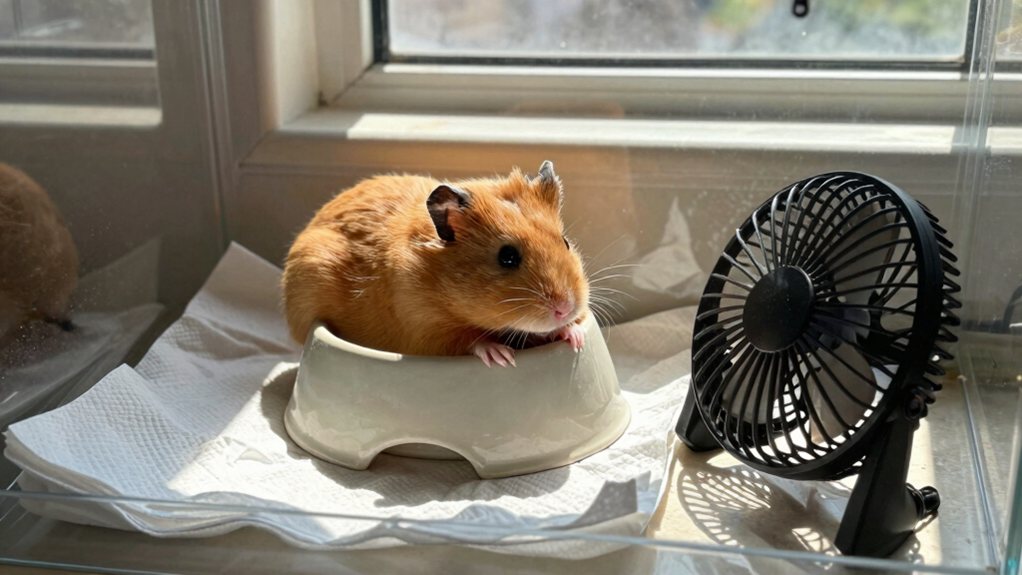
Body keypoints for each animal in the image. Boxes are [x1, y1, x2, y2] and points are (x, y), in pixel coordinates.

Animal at [283, 161, 589, 367]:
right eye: (507, 257)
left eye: (565, 242)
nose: (565, 308)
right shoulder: (424, 327)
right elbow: (471, 340)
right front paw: (501, 356)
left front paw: (575, 337)